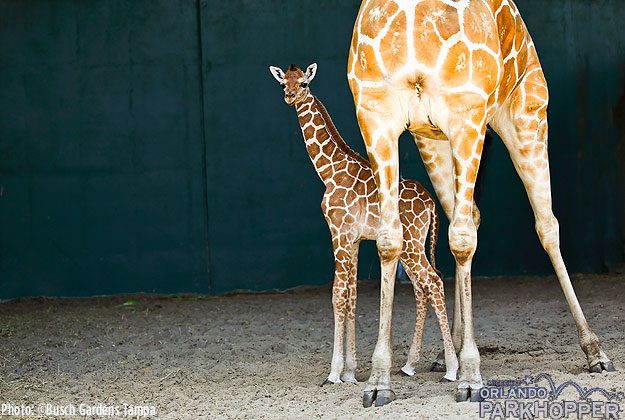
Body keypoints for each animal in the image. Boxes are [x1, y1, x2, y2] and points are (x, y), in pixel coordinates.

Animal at [270, 62, 458, 384]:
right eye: (284, 83)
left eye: (304, 83)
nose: (290, 96)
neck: (329, 171)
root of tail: (431, 204)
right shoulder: (354, 239)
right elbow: (352, 297)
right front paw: (350, 371)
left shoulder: (338, 233)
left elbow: (337, 295)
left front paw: (334, 373)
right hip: (412, 246)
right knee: (423, 287)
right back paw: (409, 365)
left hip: (411, 245)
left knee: (433, 282)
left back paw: (452, 369)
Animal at [346, 0, 616, 406]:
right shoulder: (376, 118)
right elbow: (389, 240)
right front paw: (379, 381)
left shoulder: (467, 115)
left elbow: (462, 242)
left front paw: (472, 376)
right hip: (433, 140)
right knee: (468, 215)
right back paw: (449, 354)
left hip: (526, 112)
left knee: (546, 225)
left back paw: (595, 352)